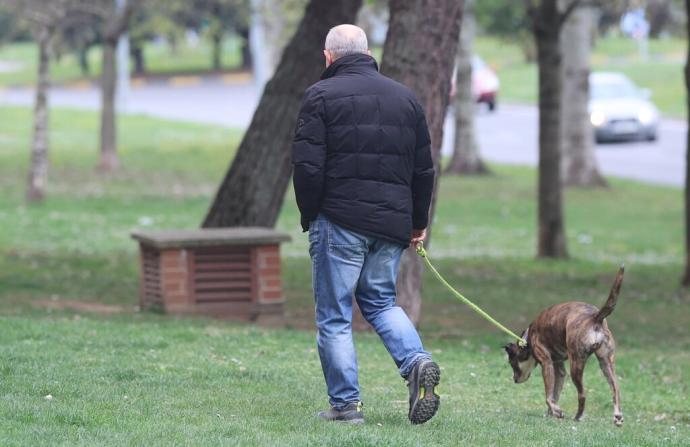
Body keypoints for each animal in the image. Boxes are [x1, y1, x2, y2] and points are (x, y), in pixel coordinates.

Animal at [502, 266, 620, 428]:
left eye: (512, 363)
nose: (514, 379)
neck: (528, 339)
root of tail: (595, 317)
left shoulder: (546, 364)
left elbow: (548, 395)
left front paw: (556, 411)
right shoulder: (559, 369)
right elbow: (555, 394)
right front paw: (552, 412)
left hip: (576, 365)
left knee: (582, 394)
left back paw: (578, 416)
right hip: (606, 364)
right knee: (615, 389)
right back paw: (617, 416)